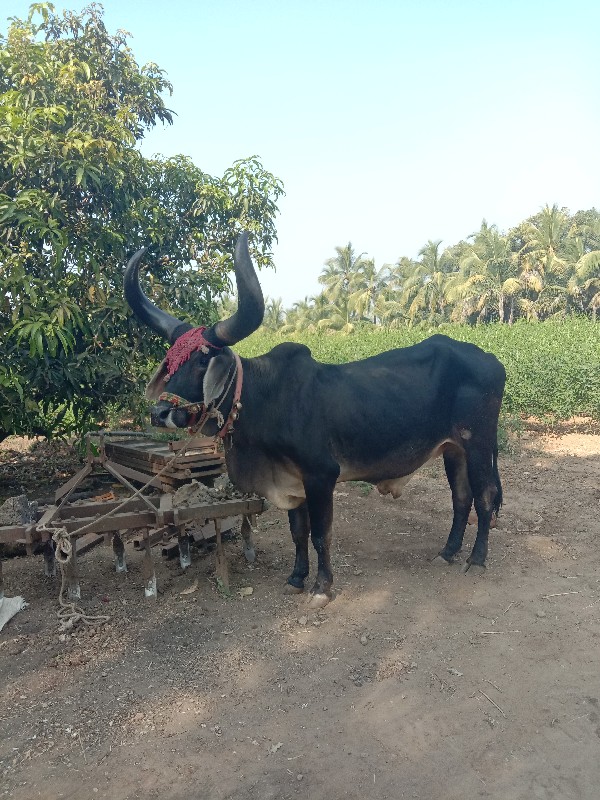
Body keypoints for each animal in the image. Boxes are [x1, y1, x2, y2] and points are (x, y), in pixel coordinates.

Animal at [124, 234, 504, 608]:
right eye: (172, 360)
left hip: (479, 443)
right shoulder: (292, 481)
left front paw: (322, 587)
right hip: (453, 449)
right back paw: (448, 552)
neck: (266, 400)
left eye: (203, 360)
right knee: (461, 498)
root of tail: (490, 358)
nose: (159, 413)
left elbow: (321, 535)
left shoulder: (321, 475)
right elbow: (298, 533)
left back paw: (477, 559)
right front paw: (296, 578)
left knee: (484, 498)